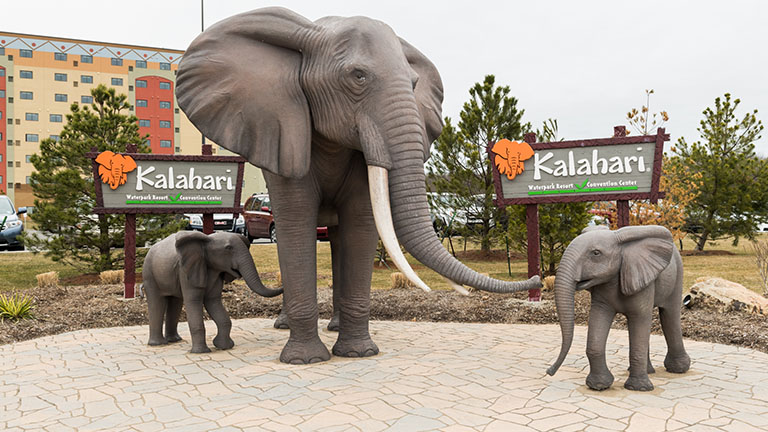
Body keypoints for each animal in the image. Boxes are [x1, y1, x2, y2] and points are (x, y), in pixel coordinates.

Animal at [143, 231, 283, 353]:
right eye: (228, 248)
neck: (207, 239)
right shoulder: (186, 270)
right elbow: (194, 301)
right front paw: (201, 352)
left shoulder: (215, 272)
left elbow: (213, 301)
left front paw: (224, 346)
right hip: (149, 273)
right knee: (157, 301)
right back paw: (158, 344)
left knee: (175, 302)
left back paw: (174, 340)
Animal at [175, 7, 541, 364]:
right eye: (358, 77)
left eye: (413, 83)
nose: (536, 279)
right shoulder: (282, 130)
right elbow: (296, 219)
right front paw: (305, 360)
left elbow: (361, 223)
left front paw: (358, 353)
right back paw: (285, 326)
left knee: (338, 239)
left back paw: (336, 327)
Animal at [546, 225, 691, 391]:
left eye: (596, 253)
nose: (549, 371)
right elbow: (598, 322)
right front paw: (599, 386)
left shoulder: (641, 282)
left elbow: (640, 318)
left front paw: (638, 388)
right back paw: (648, 371)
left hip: (677, 276)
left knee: (669, 316)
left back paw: (678, 369)